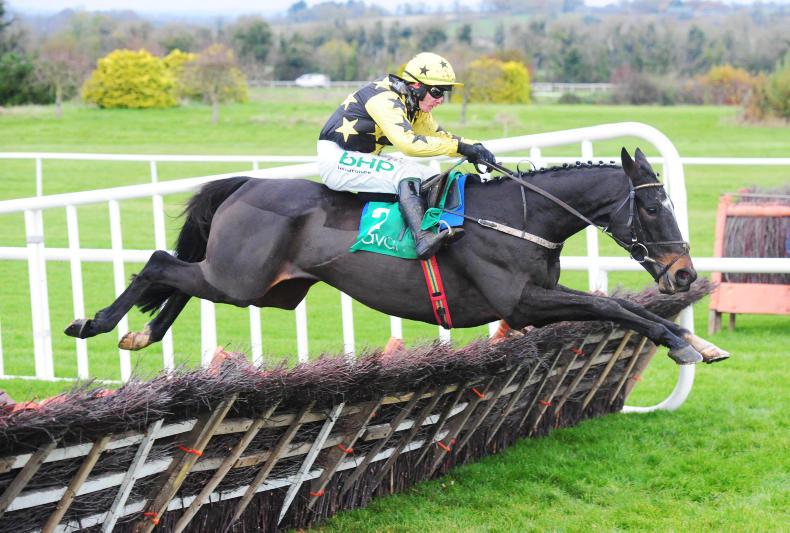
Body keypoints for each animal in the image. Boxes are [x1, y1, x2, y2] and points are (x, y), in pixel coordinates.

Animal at [65, 148, 729, 365]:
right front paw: (679, 343)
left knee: (181, 278)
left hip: (259, 287)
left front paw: (696, 342)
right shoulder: (521, 303)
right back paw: (97, 323)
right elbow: (615, 308)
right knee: (158, 262)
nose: (685, 273)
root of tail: (245, 184)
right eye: (652, 208)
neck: (521, 218)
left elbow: (624, 308)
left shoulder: (533, 302)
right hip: (241, 278)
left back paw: (143, 334)